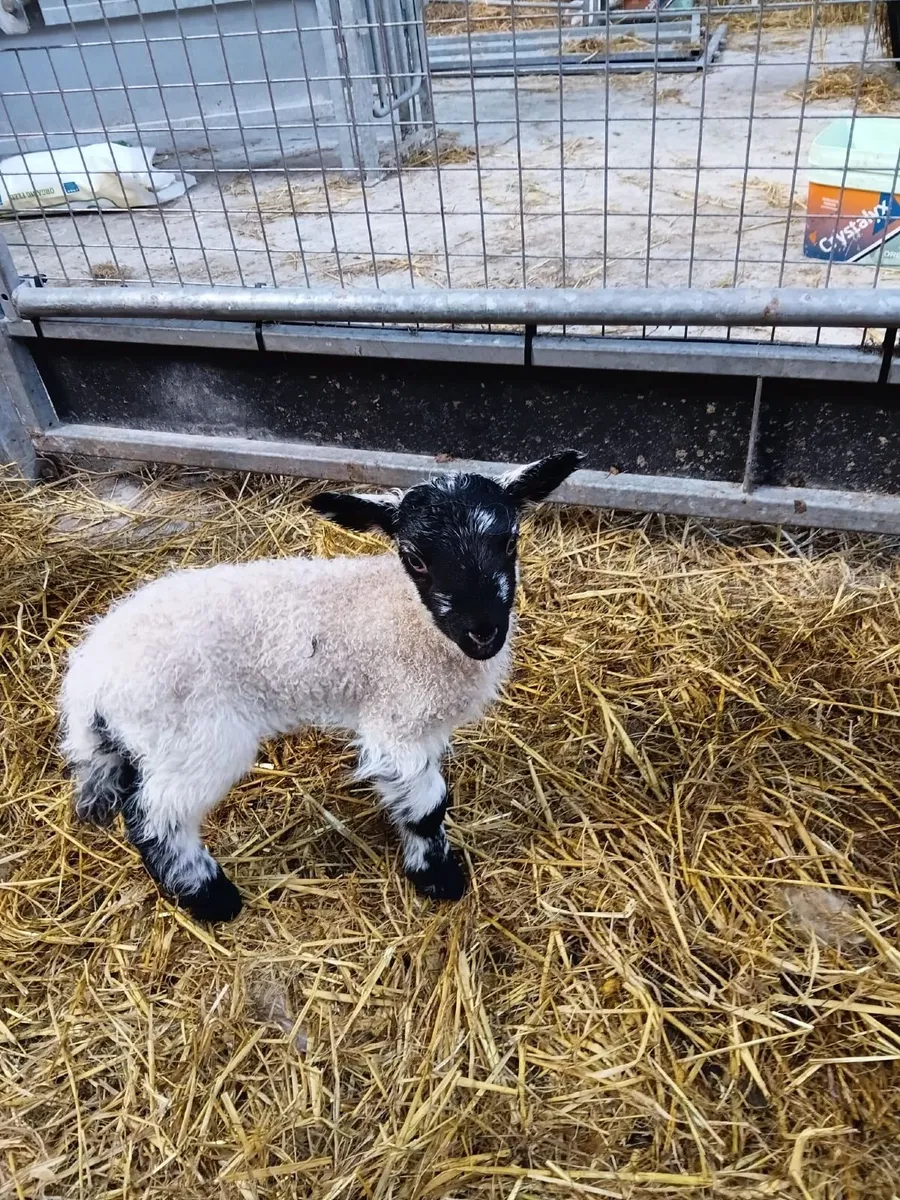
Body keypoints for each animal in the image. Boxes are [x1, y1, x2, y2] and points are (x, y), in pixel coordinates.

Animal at [60, 450, 583, 922]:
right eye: (415, 558)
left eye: (510, 541)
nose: (483, 632)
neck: (410, 616)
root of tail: (88, 678)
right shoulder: (395, 721)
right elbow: (427, 807)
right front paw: (439, 880)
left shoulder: (425, 725)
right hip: (193, 738)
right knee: (157, 819)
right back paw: (213, 900)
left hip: (142, 743)